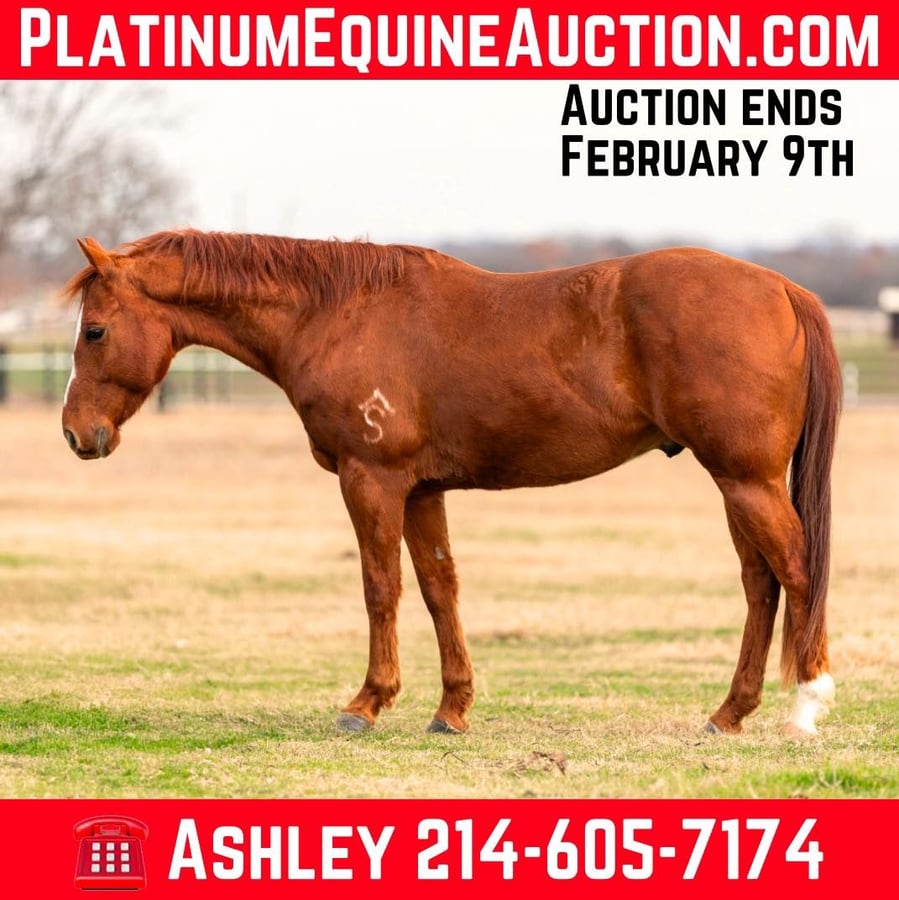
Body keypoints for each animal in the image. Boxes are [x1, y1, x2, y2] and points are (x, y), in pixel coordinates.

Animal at [60, 229, 841, 737]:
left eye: (94, 331)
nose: (76, 434)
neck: (338, 312)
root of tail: (780, 287)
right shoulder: (421, 490)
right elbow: (440, 589)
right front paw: (452, 709)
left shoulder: (371, 480)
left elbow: (380, 588)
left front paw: (366, 703)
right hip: (737, 483)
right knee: (761, 584)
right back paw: (729, 713)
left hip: (745, 479)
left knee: (796, 570)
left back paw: (805, 704)